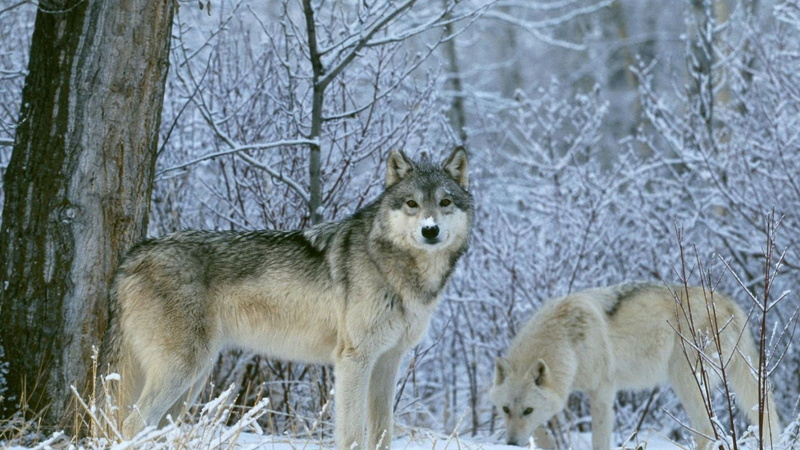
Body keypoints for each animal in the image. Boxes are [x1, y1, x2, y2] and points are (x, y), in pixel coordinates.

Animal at [100, 147, 473, 449]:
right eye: (412, 204)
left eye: (445, 203)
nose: (430, 230)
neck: (397, 269)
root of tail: (133, 255)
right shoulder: (354, 360)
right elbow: (352, 434)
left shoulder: (387, 363)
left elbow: (382, 434)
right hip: (183, 370)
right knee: (131, 423)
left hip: (193, 381)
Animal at [489, 282, 782, 450]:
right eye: (505, 409)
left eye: (527, 410)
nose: (511, 444)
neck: (567, 341)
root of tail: (729, 303)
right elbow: (542, 432)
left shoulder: (602, 391)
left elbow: (599, 441)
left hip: (686, 381)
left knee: (707, 432)